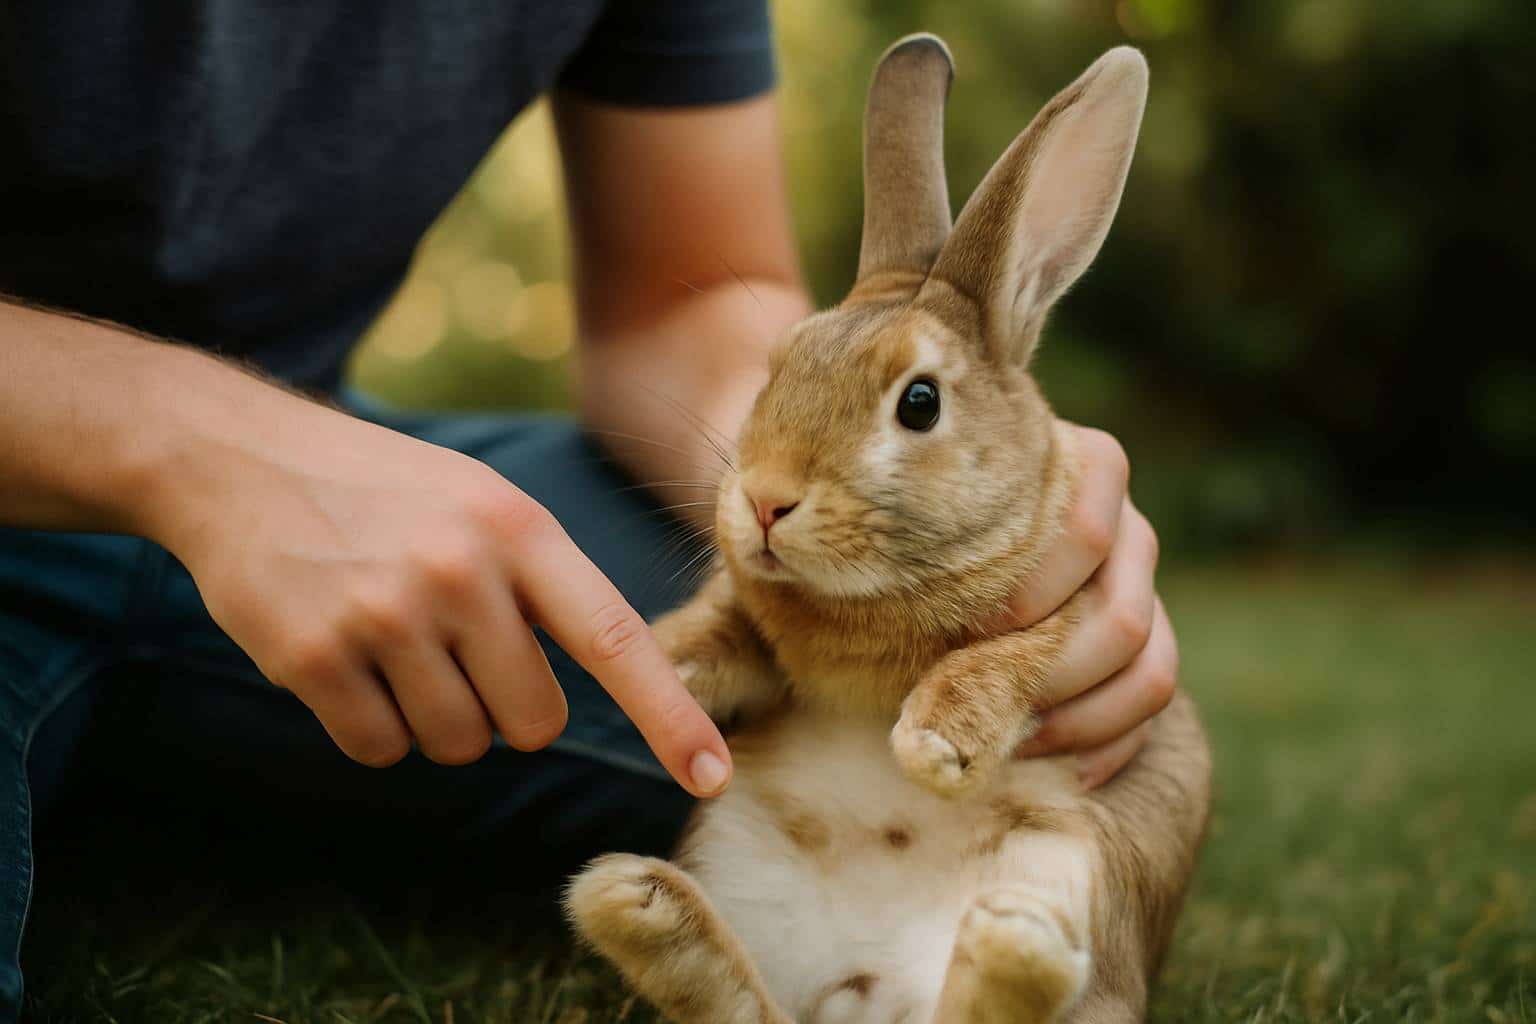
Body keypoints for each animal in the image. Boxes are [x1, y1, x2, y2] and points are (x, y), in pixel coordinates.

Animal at [564, 34, 1211, 1024]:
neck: (860, 602)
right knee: (745, 1007)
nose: (765, 500)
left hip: (1076, 868)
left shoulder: (1069, 604)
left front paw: (933, 746)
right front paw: (661, 667)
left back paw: (1012, 943)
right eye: (778, 366)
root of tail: (865, 998)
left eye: (919, 403)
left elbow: (1003, 658)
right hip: (738, 851)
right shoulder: (757, 631)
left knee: (1004, 997)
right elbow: (724, 630)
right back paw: (637, 904)